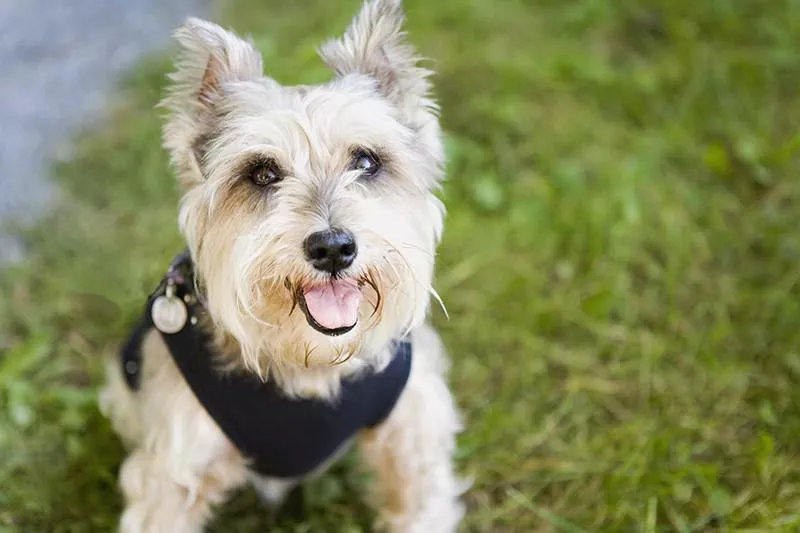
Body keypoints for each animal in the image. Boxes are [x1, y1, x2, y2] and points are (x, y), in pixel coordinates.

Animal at [98, 2, 468, 528]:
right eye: (262, 173)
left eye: (367, 161)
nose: (332, 248)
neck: (312, 364)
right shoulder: (170, 474)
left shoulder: (415, 448)